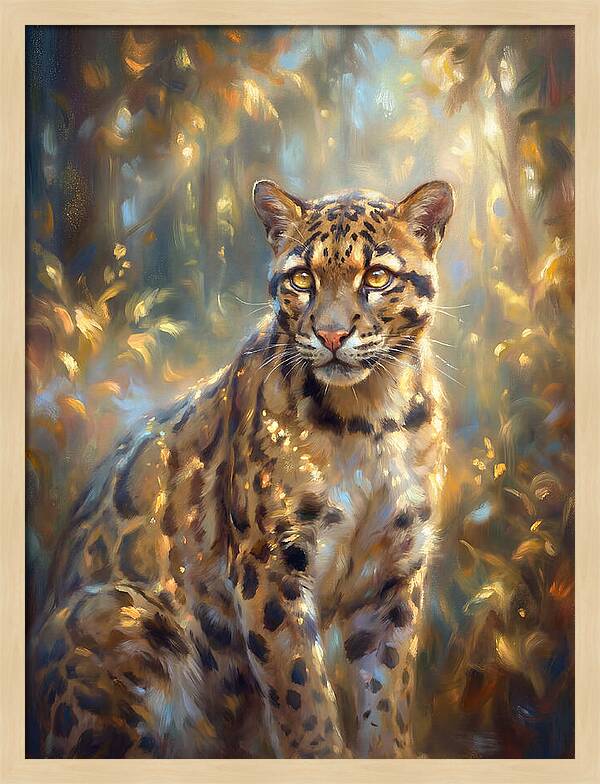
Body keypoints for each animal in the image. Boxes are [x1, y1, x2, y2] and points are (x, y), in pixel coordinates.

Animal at [30, 177, 454, 758]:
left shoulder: (393, 574)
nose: (332, 335)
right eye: (302, 278)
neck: (370, 420)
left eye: (376, 276)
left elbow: (387, 694)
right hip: (120, 614)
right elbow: (302, 696)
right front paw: (323, 753)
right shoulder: (270, 566)